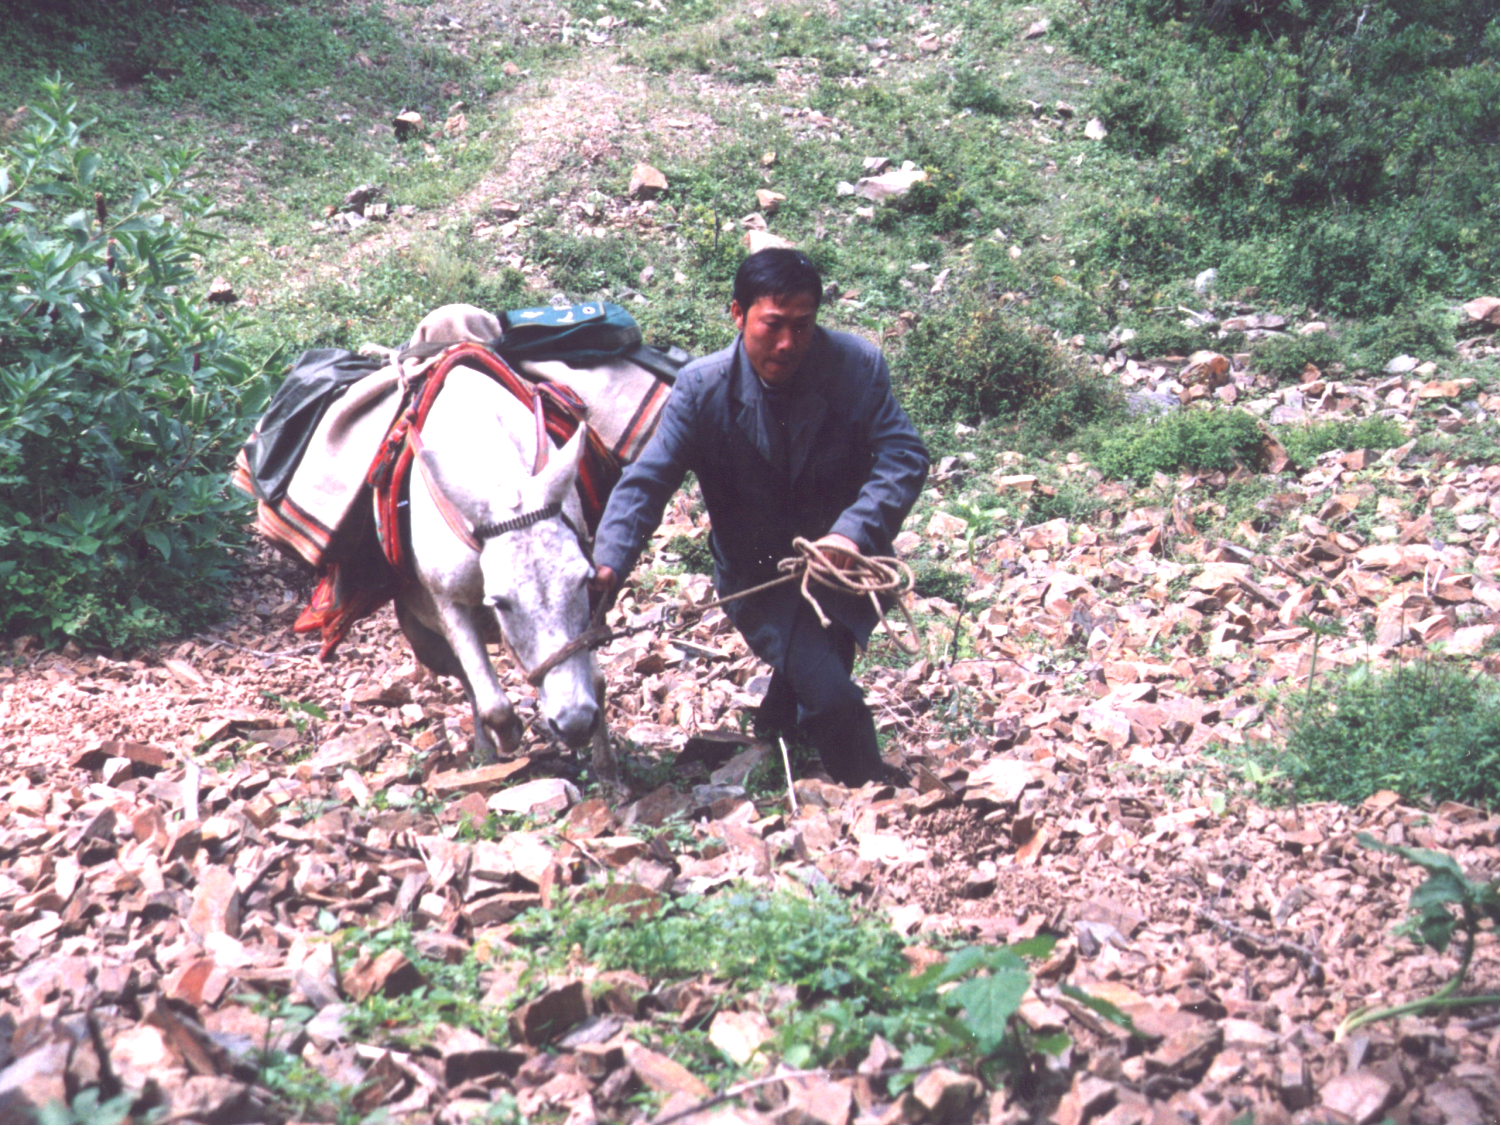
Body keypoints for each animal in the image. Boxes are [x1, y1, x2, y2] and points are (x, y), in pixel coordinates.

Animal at [396, 366, 618, 786]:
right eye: (501, 602)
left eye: (584, 581)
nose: (575, 724)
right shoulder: (448, 602)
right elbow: (491, 701)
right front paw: (510, 735)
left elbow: (595, 678)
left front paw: (605, 764)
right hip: (424, 640)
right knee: (467, 681)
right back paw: (485, 752)